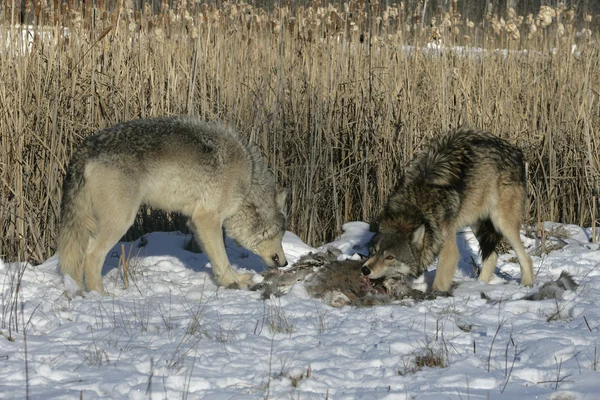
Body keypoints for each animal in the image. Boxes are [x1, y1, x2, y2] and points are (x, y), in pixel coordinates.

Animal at [58, 115, 288, 294]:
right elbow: (222, 258)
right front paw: (233, 283)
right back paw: (101, 296)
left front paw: (236, 279)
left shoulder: (195, 223)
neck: (248, 180)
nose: (285, 263)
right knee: (92, 255)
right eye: (280, 233)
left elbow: (217, 259)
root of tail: (87, 148)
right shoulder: (207, 219)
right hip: (121, 222)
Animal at [360, 130, 536, 292]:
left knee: (526, 258)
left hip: (502, 223)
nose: (365, 269)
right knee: (492, 256)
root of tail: (516, 150)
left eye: (390, 257)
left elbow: (439, 281)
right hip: (476, 223)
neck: (413, 208)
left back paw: (526, 285)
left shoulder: (448, 248)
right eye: (374, 251)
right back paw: (478, 286)